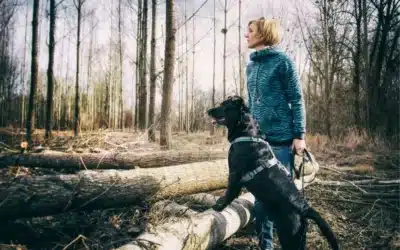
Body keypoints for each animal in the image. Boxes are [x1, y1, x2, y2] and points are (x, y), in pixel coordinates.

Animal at [208, 95, 340, 250]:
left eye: (225, 105)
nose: (208, 111)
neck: (247, 133)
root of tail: (304, 207)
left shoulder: (234, 174)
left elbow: (230, 193)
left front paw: (219, 206)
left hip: (288, 235)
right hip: (299, 237)